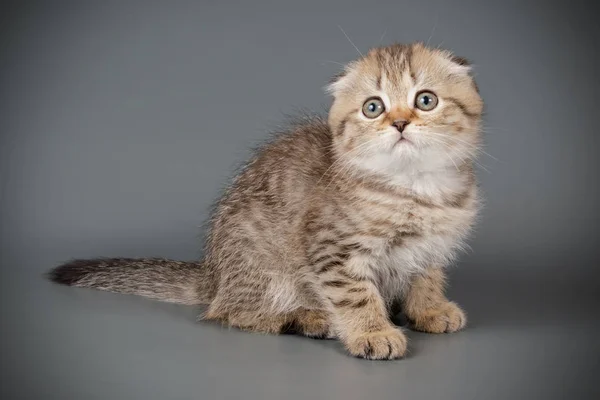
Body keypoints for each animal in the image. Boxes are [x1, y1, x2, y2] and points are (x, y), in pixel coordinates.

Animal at [50, 43, 482, 360]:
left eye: (425, 100)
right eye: (372, 107)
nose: (400, 123)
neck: (415, 187)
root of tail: (213, 276)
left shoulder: (432, 245)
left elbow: (426, 276)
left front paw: (429, 309)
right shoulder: (333, 250)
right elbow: (356, 295)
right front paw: (372, 332)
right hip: (260, 261)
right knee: (230, 312)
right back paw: (309, 318)